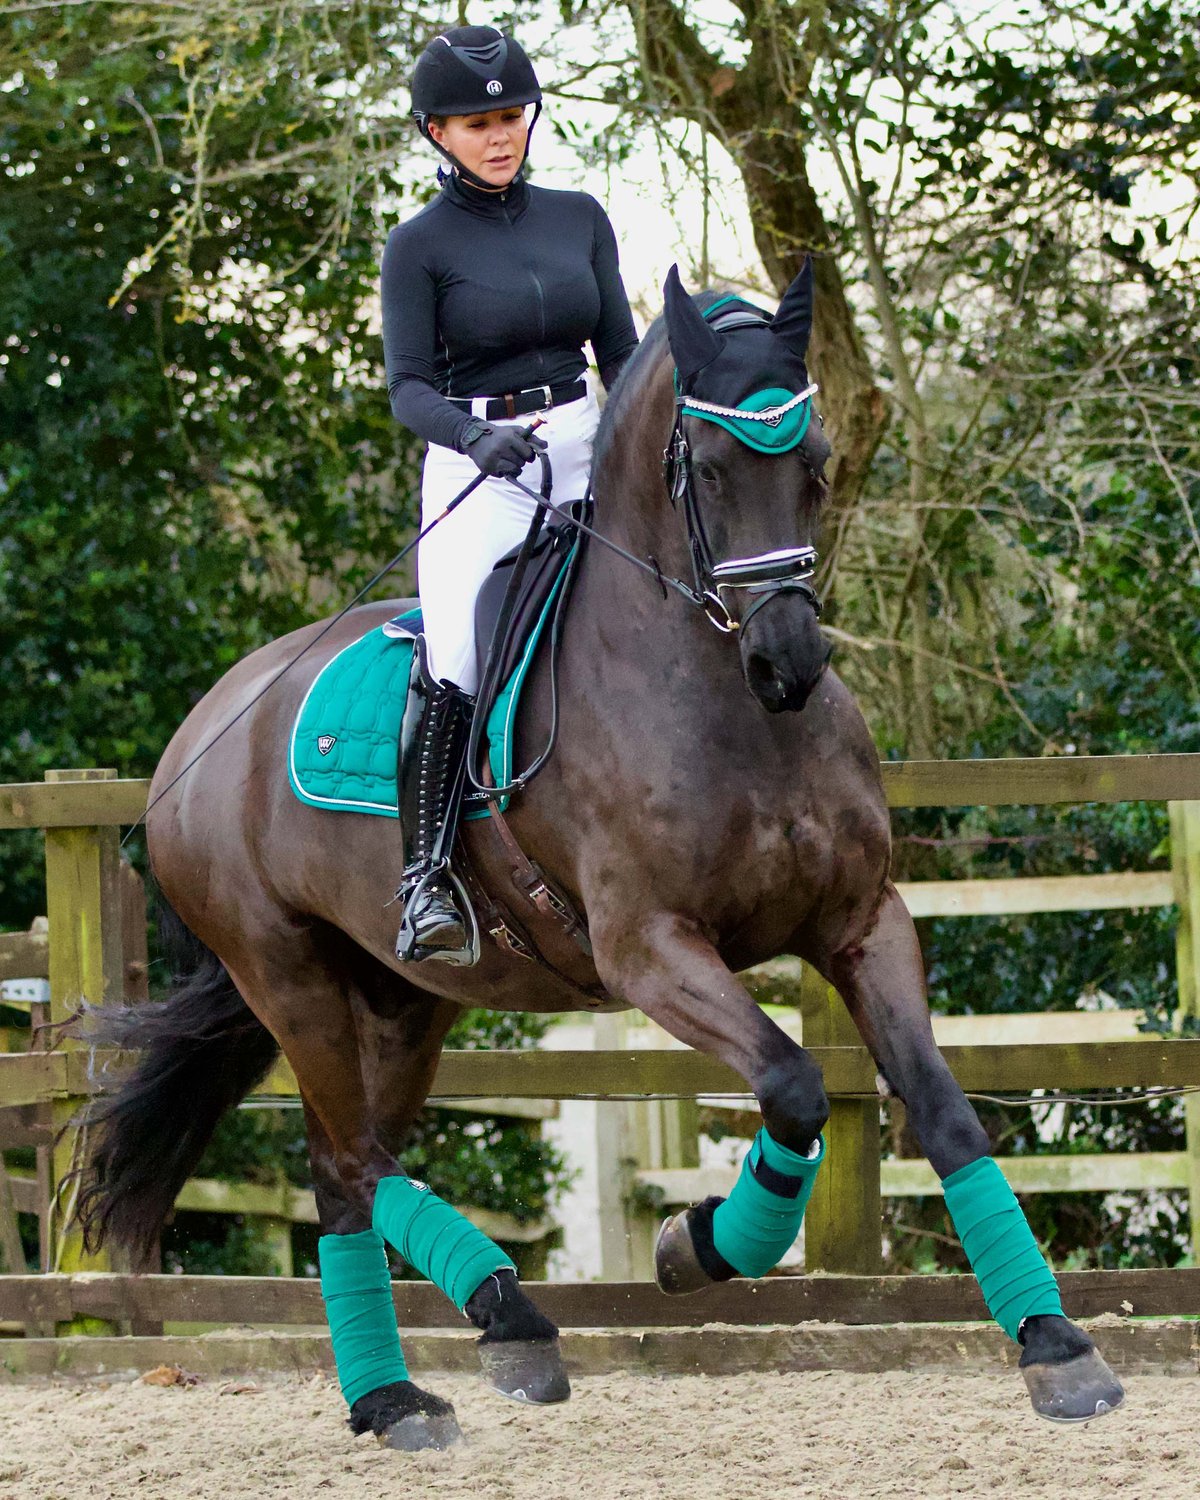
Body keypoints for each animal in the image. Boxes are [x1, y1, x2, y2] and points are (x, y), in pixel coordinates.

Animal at [76, 259, 1123, 1450]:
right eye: (706, 468)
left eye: (813, 462)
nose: (788, 663)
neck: (722, 702)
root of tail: (202, 730)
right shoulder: (649, 949)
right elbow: (795, 1086)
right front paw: (698, 1246)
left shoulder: (862, 924)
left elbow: (942, 1111)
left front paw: (1056, 1346)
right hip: (287, 976)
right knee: (347, 1158)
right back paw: (456, 1353)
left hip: (403, 1000)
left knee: (353, 1166)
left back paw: (446, 1363)